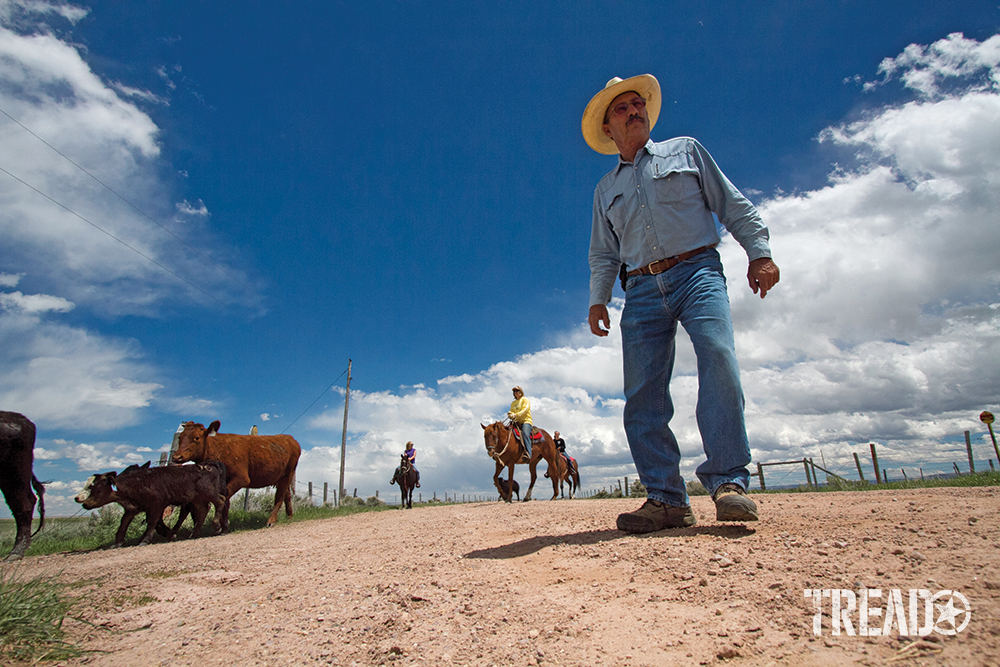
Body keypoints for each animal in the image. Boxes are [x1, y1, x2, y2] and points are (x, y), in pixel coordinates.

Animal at [76, 460, 229, 548]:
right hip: (197, 498)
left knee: (221, 501)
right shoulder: (133, 508)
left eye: (98, 489)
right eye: (92, 487)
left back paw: (217, 526)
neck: (137, 482)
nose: (84, 503)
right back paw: (194, 533)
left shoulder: (157, 504)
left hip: (208, 492)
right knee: (203, 509)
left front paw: (146, 539)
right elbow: (123, 523)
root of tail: (209, 466)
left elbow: (152, 522)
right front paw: (117, 542)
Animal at [170, 422, 300, 528]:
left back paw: (271, 521)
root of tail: (290, 438)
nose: (176, 457)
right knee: (287, 496)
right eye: (180, 437)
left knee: (279, 497)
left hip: (288, 473)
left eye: (197, 438)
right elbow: (225, 501)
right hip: (281, 476)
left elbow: (223, 498)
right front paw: (224, 524)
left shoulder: (241, 478)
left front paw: (219, 524)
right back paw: (289, 516)